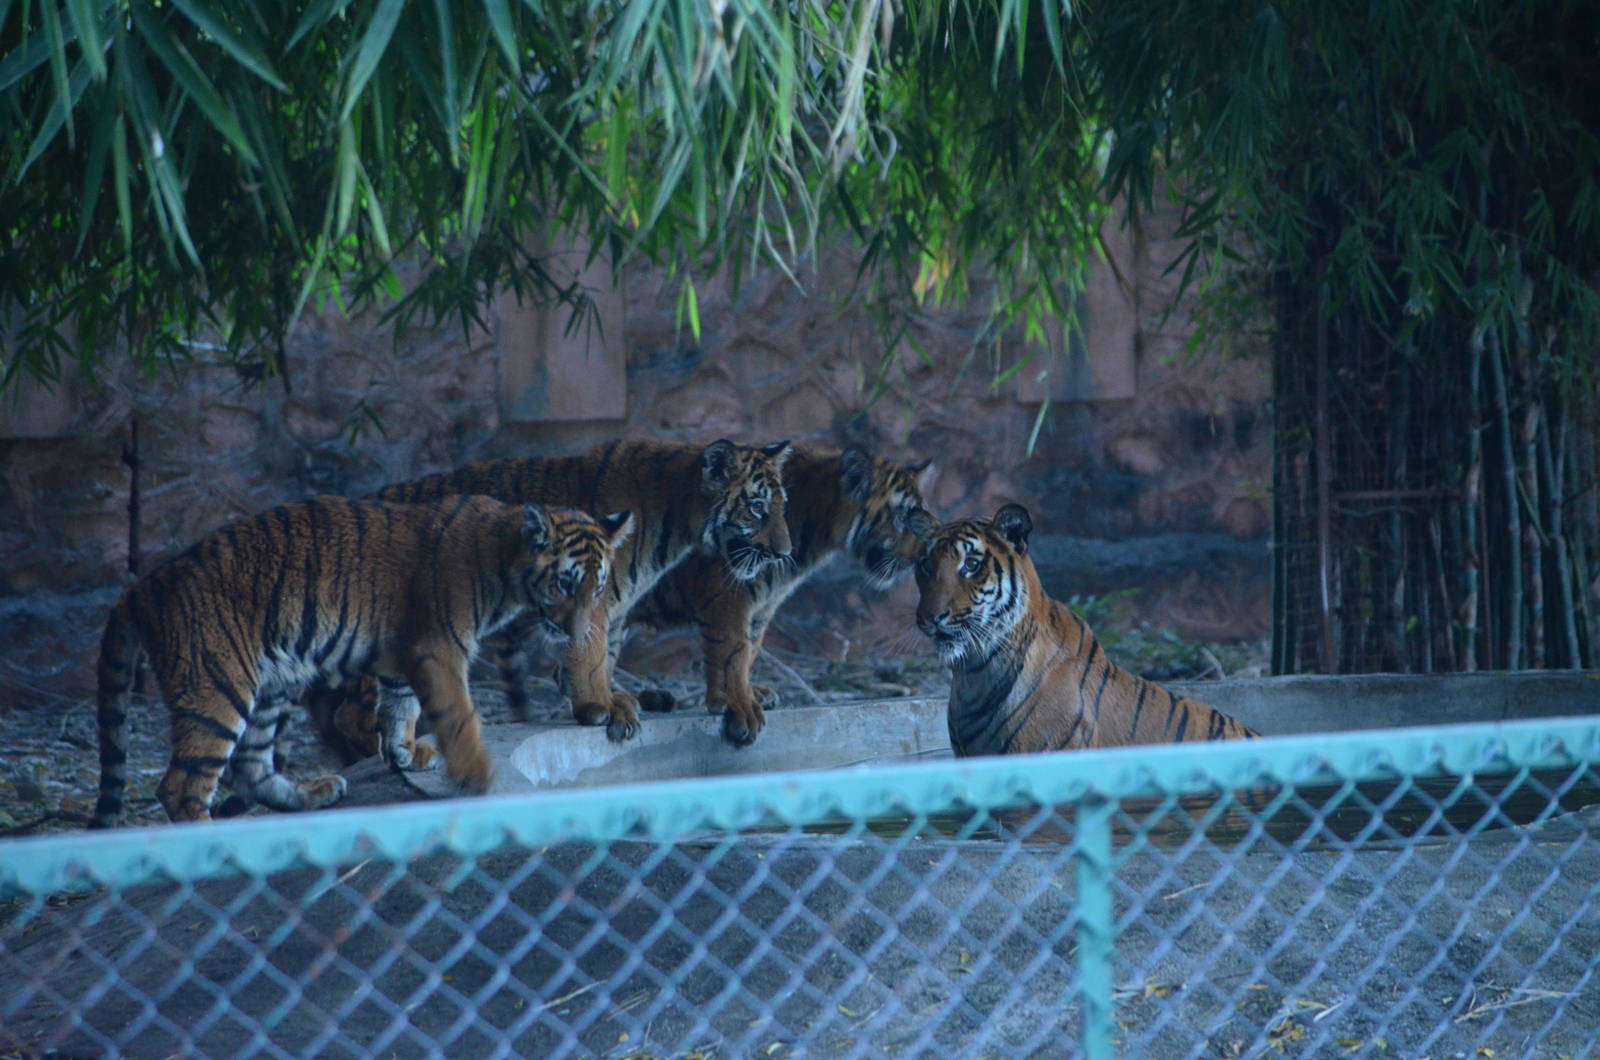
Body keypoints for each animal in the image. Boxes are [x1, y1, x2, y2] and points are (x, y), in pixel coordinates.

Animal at [90, 494, 631, 826]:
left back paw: (315, 793)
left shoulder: (403, 656)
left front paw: (405, 753)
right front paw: (478, 777)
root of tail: (143, 587)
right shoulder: (440, 648)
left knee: (251, 767)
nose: (579, 632)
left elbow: (400, 707)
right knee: (181, 787)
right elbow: (458, 716)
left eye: (597, 587)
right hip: (218, 685)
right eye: (564, 584)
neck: (505, 558)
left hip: (268, 687)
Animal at [325, 438, 795, 749]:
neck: (680, 517)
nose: (785, 552)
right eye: (757, 508)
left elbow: (605, 655)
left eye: (782, 506)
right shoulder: (595, 596)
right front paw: (600, 708)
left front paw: (611, 702)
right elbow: (590, 653)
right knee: (349, 712)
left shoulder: (614, 602)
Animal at [630, 447, 935, 745]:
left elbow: (749, 648)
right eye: (901, 516)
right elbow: (732, 651)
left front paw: (747, 695)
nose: (920, 555)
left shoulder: (762, 604)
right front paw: (739, 708)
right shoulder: (728, 596)